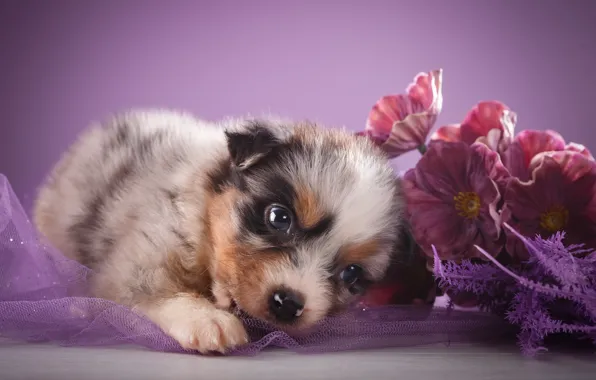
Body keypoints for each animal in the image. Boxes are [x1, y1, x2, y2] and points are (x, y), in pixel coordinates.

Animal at [32, 109, 406, 354]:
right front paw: (208, 320)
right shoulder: (143, 256)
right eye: (279, 218)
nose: (287, 304)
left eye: (351, 274)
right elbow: (154, 291)